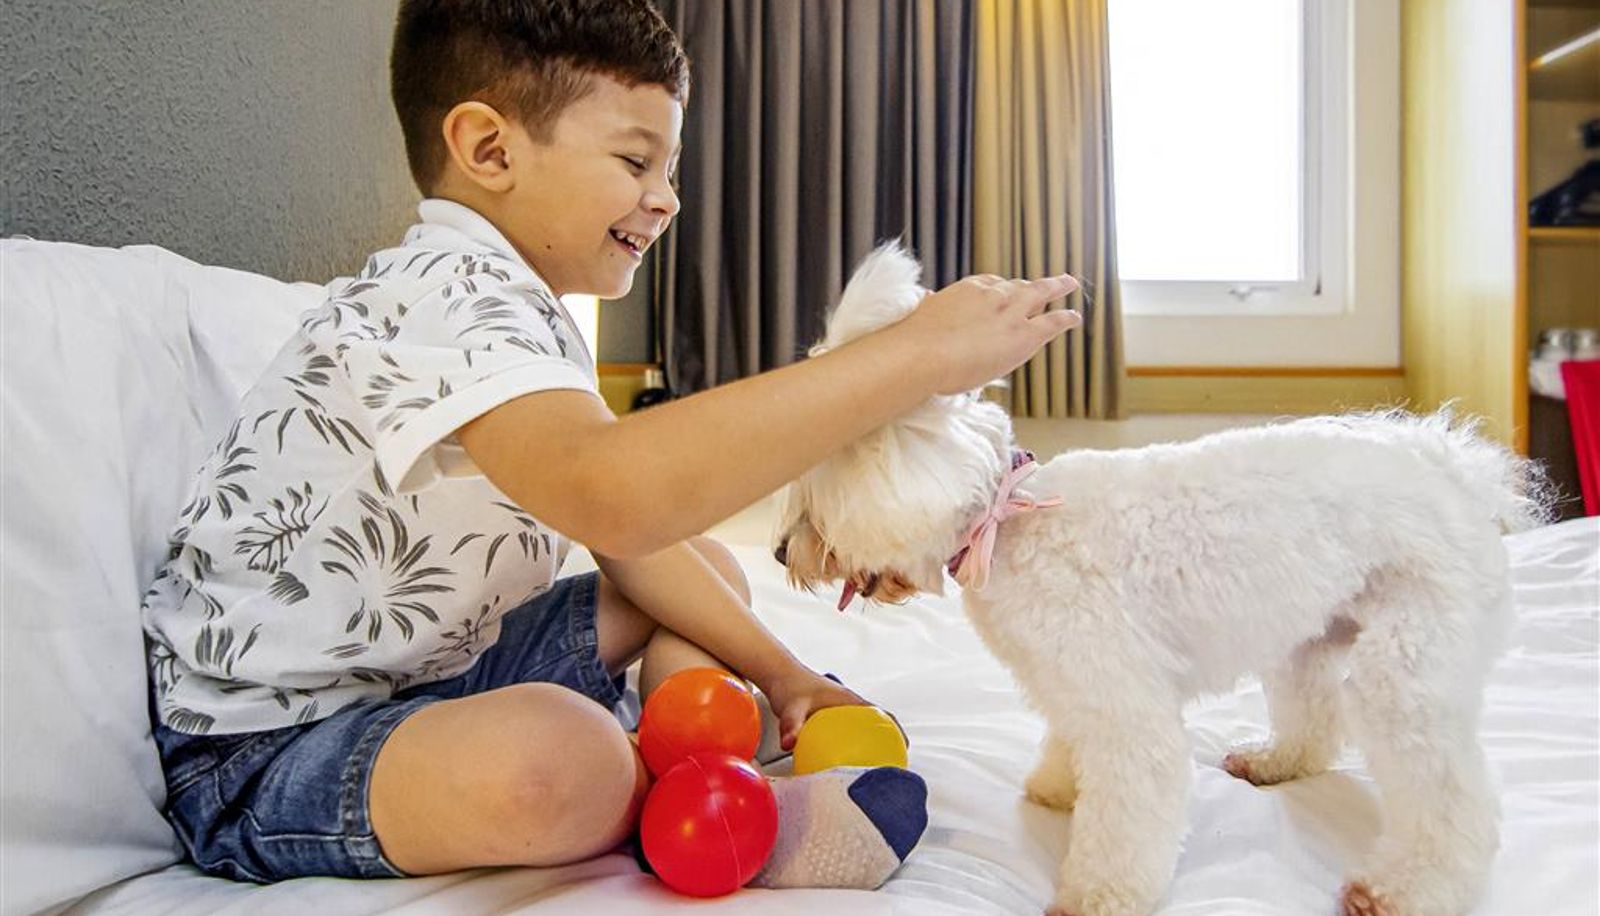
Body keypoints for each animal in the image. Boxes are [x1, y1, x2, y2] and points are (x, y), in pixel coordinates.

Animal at [774, 244, 1549, 916]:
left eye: (815, 497)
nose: (781, 553)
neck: (1008, 519)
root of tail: (1455, 473)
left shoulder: (1124, 706)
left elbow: (1126, 812)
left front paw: (1094, 898)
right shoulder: (1073, 684)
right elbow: (1070, 744)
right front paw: (1058, 788)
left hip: (1409, 668)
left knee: (1455, 800)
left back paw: (1406, 889)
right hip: (1307, 639)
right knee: (1315, 723)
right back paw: (1275, 763)